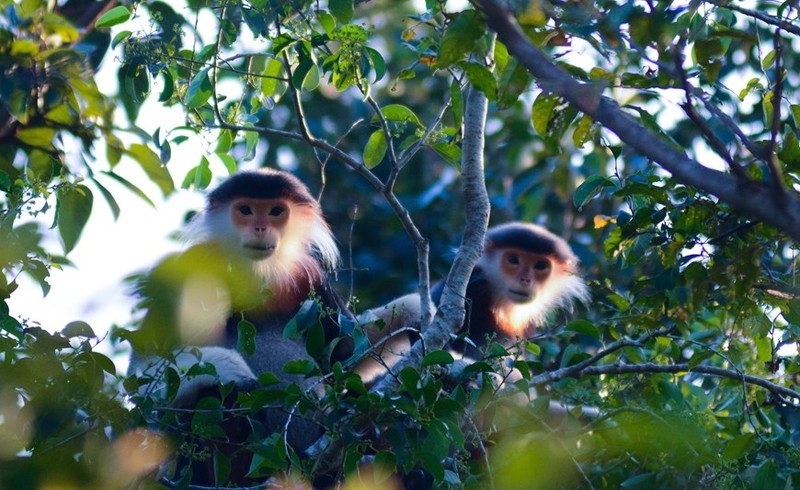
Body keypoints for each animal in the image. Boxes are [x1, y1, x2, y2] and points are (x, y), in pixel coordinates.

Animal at [126, 168, 352, 486]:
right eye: (245, 210)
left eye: (275, 211)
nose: (259, 228)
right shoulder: (194, 264)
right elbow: (143, 372)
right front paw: (233, 368)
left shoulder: (311, 278)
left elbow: (346, 354)